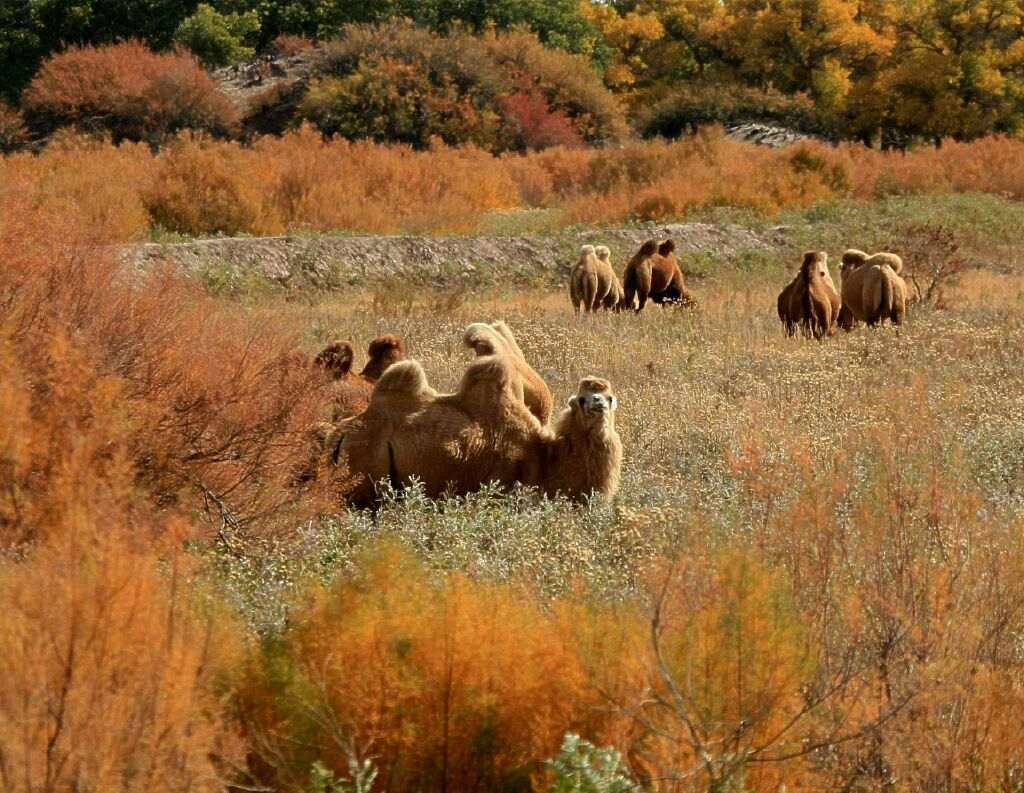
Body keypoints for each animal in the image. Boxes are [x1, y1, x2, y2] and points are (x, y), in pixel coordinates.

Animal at [335, 323, 622, 506]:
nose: (598, 403)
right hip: (365, 473)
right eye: (582, 399)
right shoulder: (502, 484)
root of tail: (339, 435)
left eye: (609, 397)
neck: (543, 456)